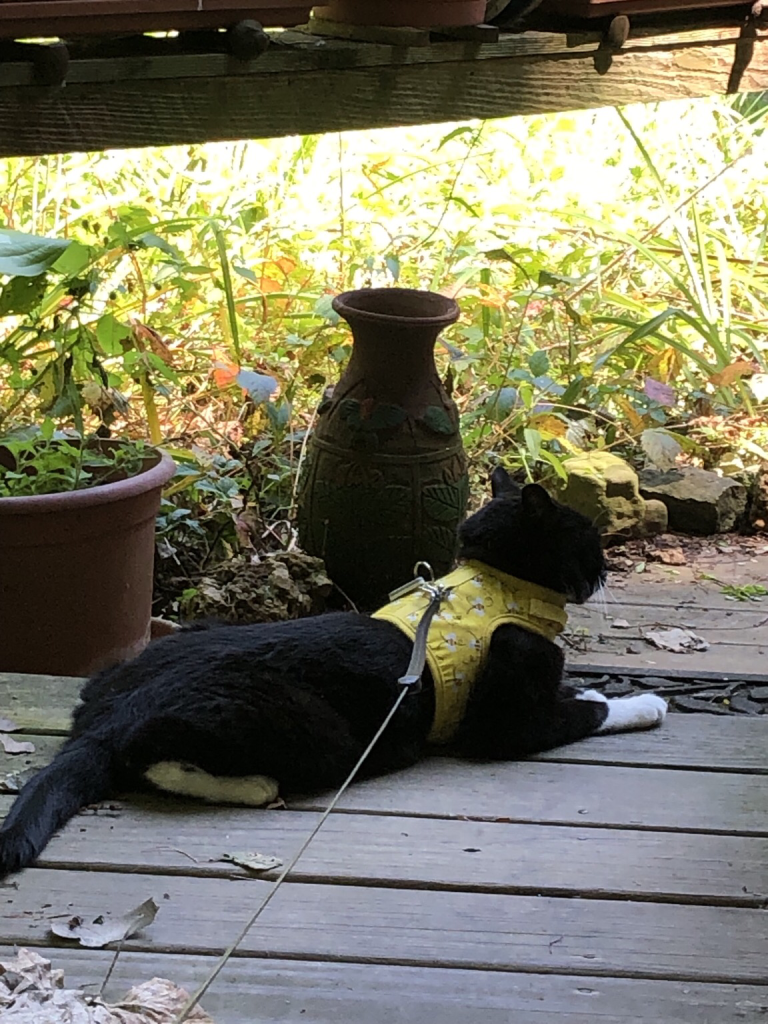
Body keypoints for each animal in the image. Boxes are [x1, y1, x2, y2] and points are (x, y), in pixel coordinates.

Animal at [0, 468, 667, 876]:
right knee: (153, 758)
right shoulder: (504, 724)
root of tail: (109, 714)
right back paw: (255, 786)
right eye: (591, 542)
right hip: (316, 732)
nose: (607, 570)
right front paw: (642, 703)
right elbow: (586, 711)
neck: (498, 583)